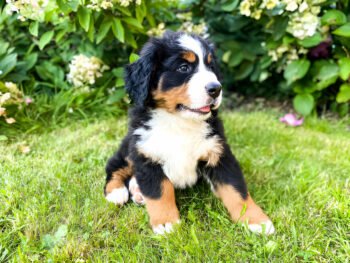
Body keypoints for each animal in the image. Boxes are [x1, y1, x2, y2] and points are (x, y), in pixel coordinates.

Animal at [102, 31, 274, 235]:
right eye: (183, 68)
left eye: (211, 67)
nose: (216, 88)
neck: (179, 121)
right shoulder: (145, 154)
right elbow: (160, 191)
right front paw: (166, 222)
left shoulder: (219, 154)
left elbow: (236, 189)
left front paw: (256, 220)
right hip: (128, 147)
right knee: (115, 165)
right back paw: (116, 192)